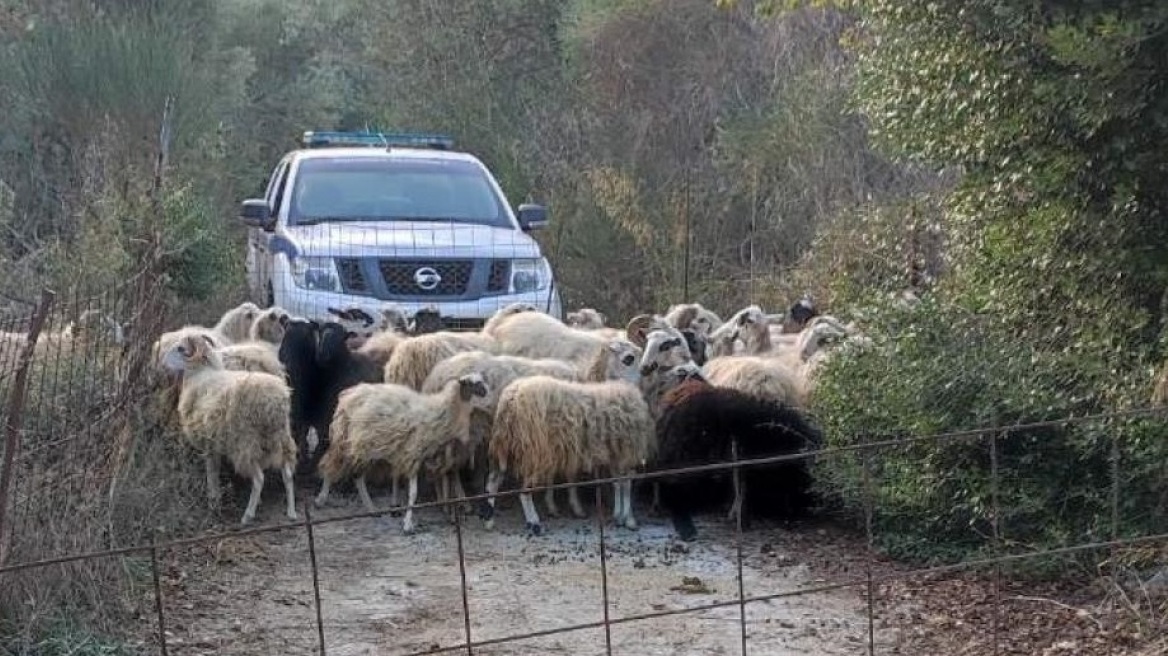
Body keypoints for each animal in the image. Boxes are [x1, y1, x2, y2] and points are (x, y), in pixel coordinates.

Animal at [175, 331, 301, 520]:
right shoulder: (213, 443)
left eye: (184, 344)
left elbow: (211, 471)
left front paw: (213, 501)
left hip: (245, 443)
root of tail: (274, 401)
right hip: (280, 436)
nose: (177, 349)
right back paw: (291, 511)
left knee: (259, 479)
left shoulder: (208, 442)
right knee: (287, 474)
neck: (200, 372)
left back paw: (248, 514)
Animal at [313, 373, 490, 532]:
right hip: (351, 441)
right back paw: (321, 499)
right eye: (474, 384)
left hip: (362, 446)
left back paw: (371, 509)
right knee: (333, 466)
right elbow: (413, 493)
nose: (488, 394)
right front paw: (408, 524)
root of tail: (349, 396)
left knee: (356, 476)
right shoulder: (412, 455)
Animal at [478, 371, 654, 534]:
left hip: (506, 447)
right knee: (524, 491)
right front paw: (628, 519)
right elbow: (626, 485)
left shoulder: (616, 454)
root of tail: (510, 397)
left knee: (492, 482)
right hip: (533, 452)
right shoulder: (627, 452)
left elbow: (617, 483)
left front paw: (619, 516)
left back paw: (488, 520)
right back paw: (534, 523)